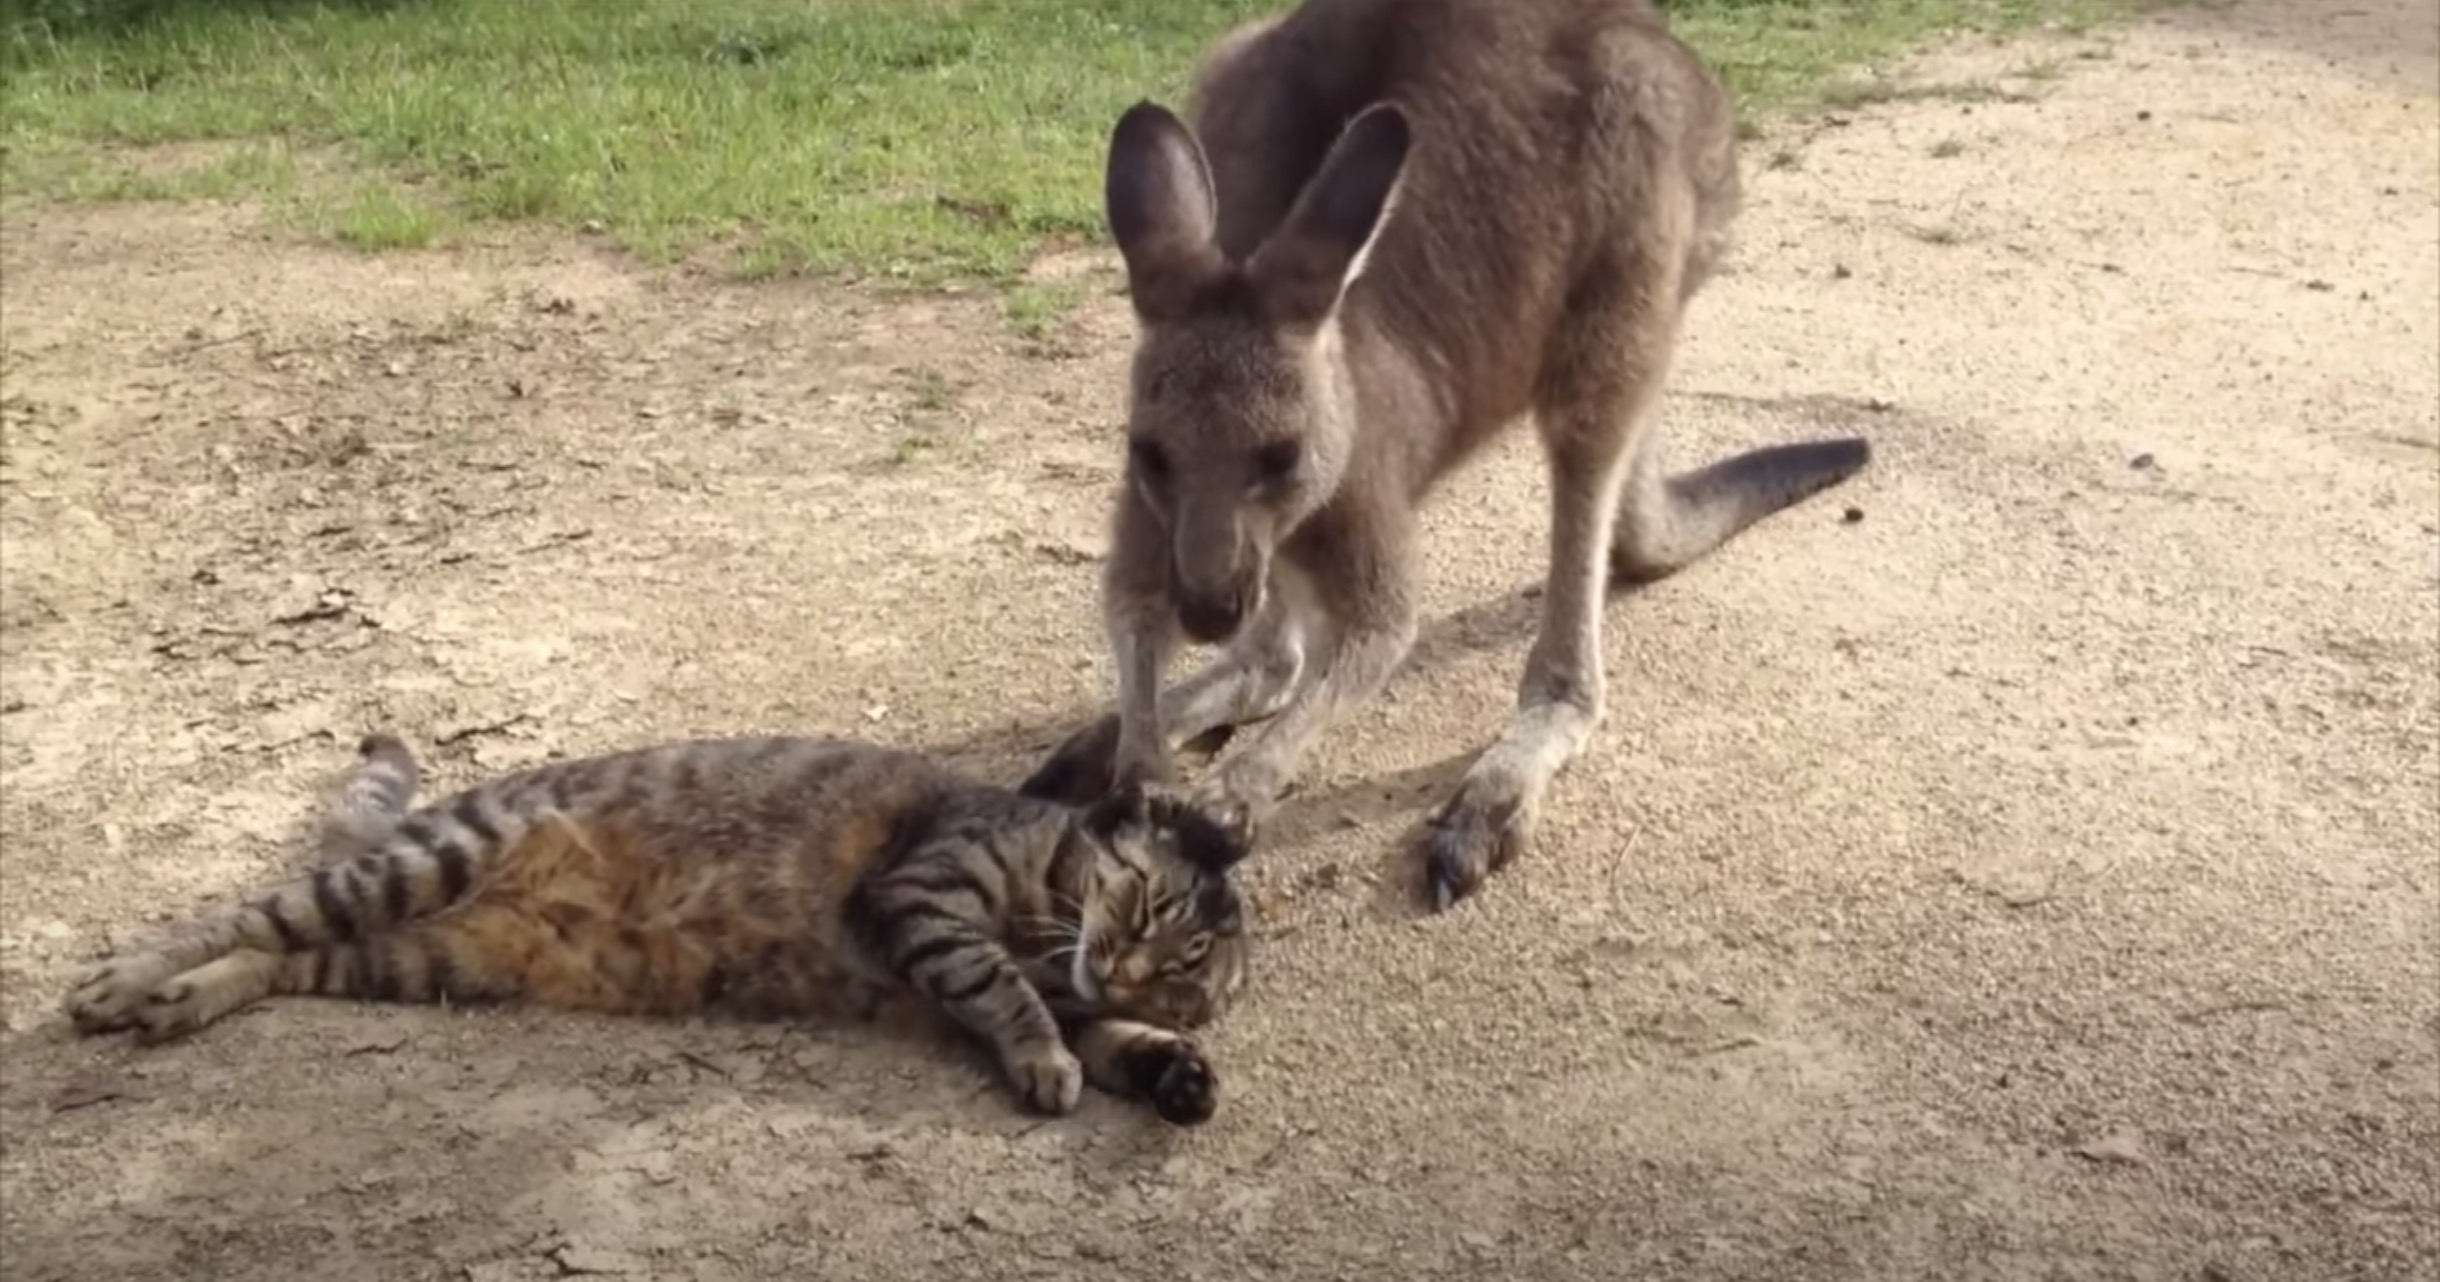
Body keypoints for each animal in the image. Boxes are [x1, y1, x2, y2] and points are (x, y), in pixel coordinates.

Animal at [64, 727, 1249, 1118]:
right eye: (1148, 908)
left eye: (1183, 974)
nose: (1130, 968)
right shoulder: (920, 898)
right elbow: (1005, 991)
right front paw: (1046, 1058)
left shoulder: (1062, 984)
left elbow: (1108, 1037)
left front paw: (1172, 1070)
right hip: (425, 868)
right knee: (241, 915)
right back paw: (129, 977)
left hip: (426, 955)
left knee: (277, 957)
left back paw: (181, 1000)